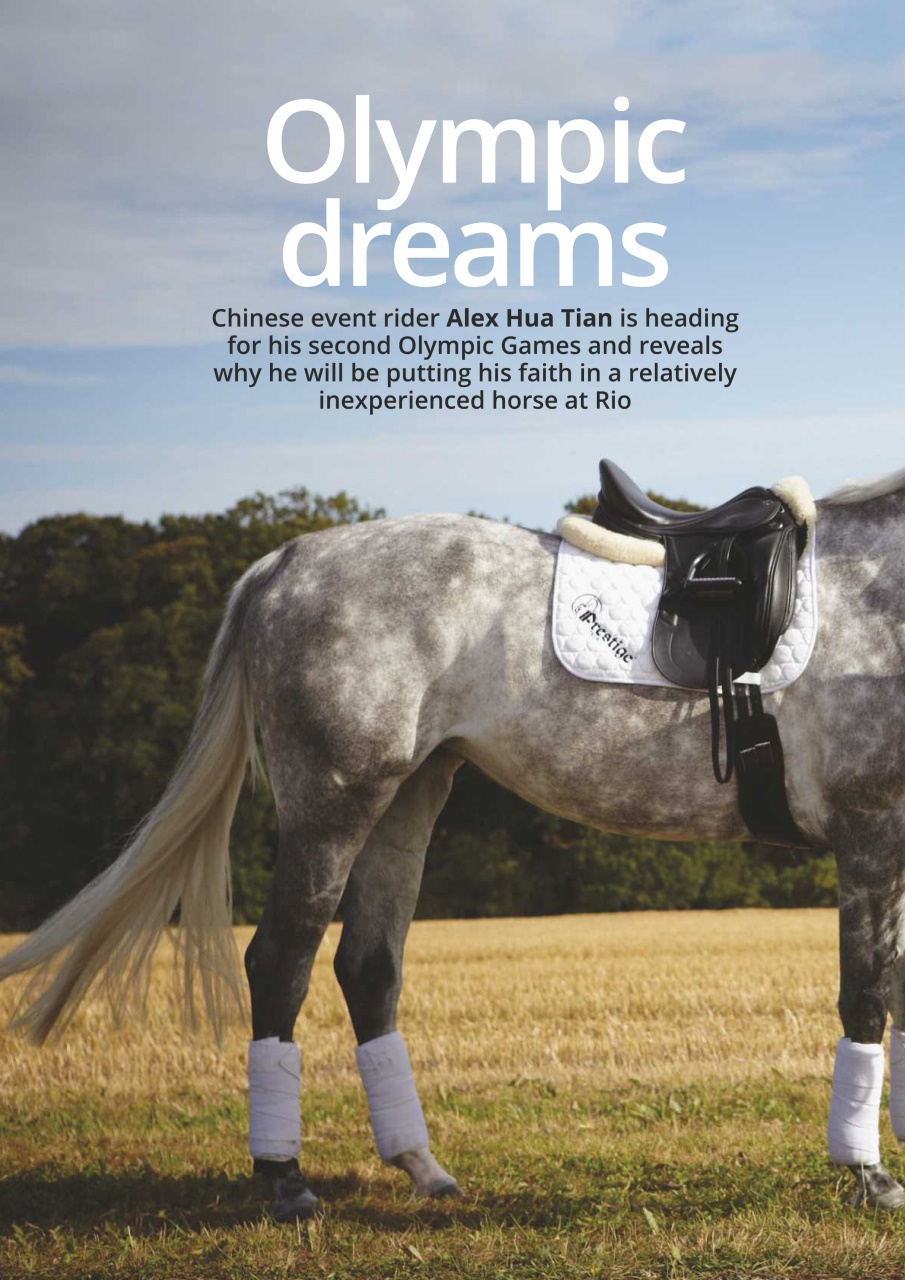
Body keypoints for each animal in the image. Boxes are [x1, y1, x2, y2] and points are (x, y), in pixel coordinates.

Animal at [3, 465, 905, 1221]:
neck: (880, 596)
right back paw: (284, 1181)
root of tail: (283, 564)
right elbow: (866, 995)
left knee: (367, 967)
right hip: (334, 804)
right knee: (281, 962)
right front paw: (869, 1176)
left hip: (409, 797)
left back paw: (421, 1167)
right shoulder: (869, 836)